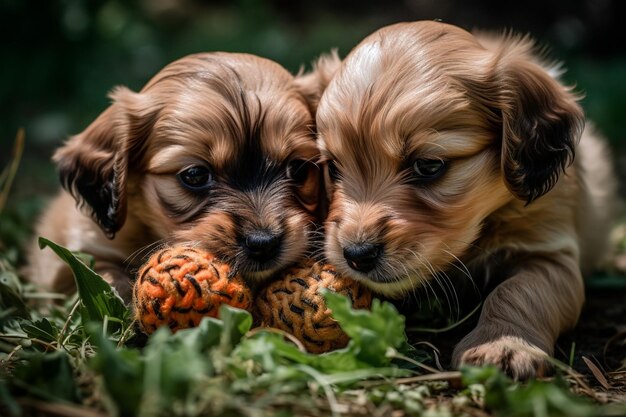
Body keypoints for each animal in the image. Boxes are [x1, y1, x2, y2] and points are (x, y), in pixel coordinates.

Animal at [316, 21, 616, 378]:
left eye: (428, 165)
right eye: (333, 167)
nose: (357, 255)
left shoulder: (550, 252)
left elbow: (518, 291)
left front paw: (502, 345)